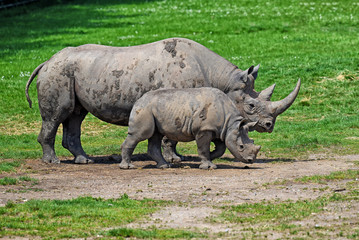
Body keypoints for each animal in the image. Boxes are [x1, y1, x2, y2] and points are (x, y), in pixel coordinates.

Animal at [121, 87, 262, 169]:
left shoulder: (220, 130)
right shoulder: (204, 129)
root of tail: (139, 99)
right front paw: (208, 166)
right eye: (241, 146)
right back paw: (128, 167)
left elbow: (220, 149)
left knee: (156, 136)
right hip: (144, 108)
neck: (231, 123)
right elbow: (203, 147)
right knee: (140, 135)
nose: (250, 160)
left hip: (154, 109)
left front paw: (210, 157)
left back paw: (164, 166)